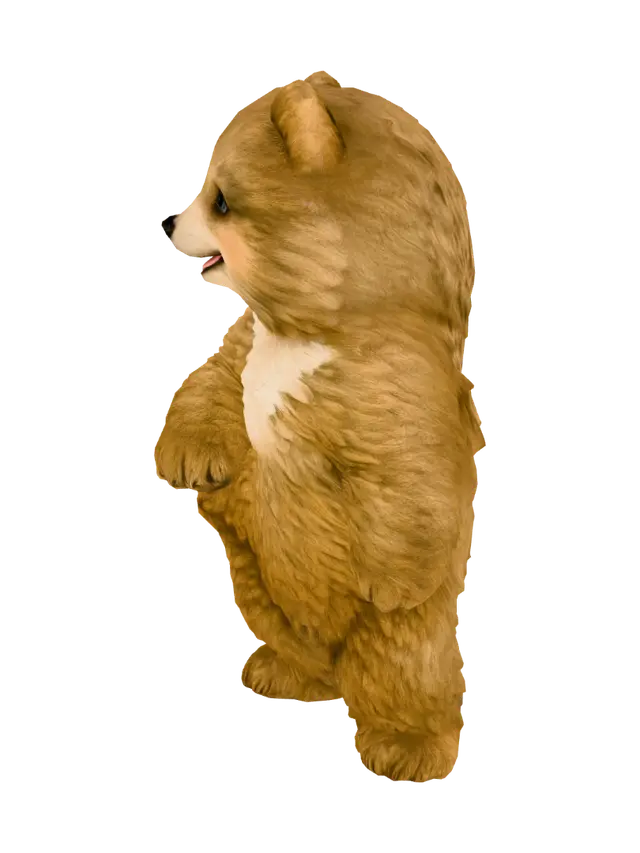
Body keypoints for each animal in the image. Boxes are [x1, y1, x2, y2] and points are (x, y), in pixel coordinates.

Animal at [153, 69, 484, 784]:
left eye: (222, 200)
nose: (170, 218)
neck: (312, 330)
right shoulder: (246, 346)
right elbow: (207, 385)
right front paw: (186, 458)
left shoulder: (393, 378)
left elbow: (411, 472)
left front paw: (390, 576)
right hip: (253, 582)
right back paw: (281, 674)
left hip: (404, 639)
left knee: (402, 666)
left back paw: (408, 747)